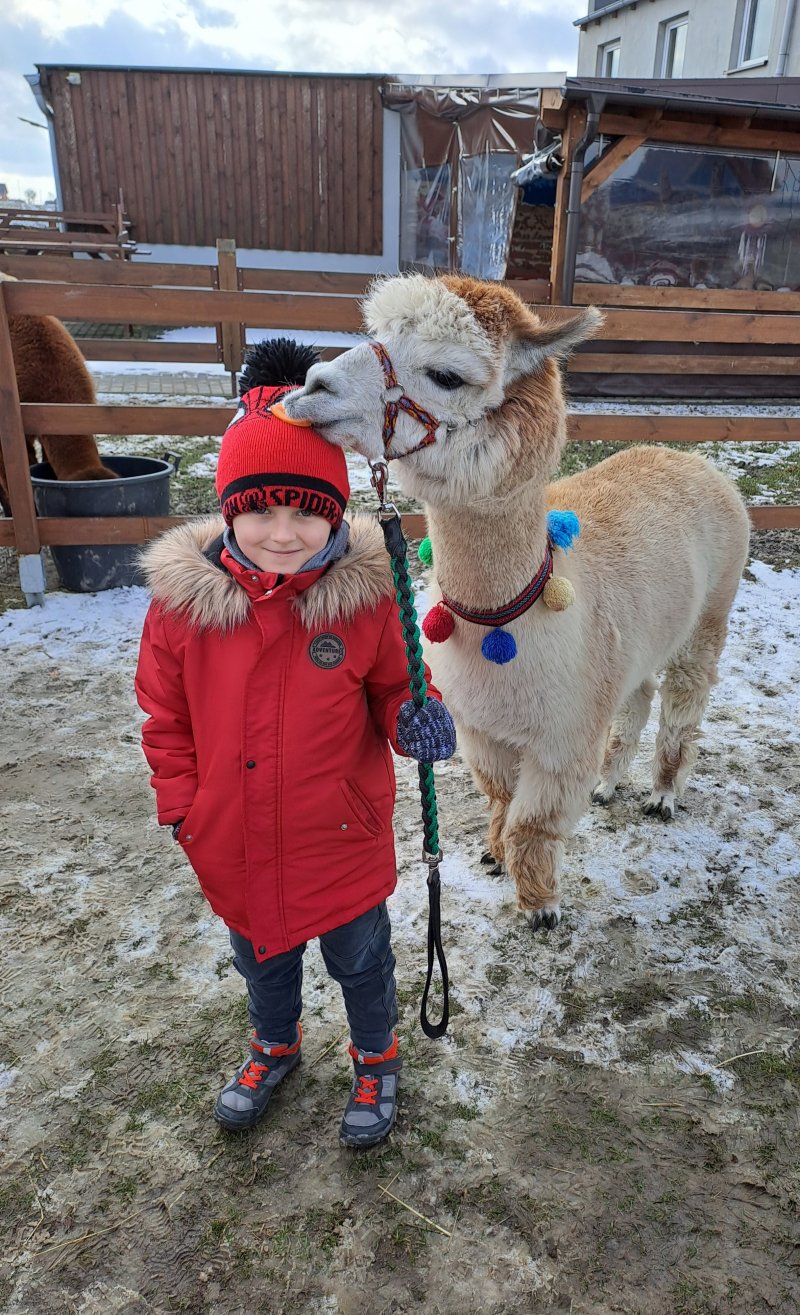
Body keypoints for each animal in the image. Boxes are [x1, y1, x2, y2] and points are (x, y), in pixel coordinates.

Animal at [280, 274, 750, 929]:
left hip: (712, 608)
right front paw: (495, 856)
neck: (504, 626)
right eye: (376, 334)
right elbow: (501, 798)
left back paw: (662, 794)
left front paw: (541, 906)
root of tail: (691, 459)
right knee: (638, 694)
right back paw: (610, 784)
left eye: (447, 375)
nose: (313, 385)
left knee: (684, 699)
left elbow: (535, 822)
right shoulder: (483, 728)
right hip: (635, 641)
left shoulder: (563, 735)